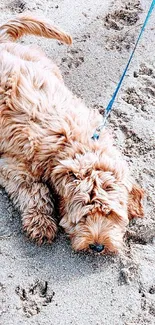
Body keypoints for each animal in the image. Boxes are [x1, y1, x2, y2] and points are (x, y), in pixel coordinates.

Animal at [0, 14, 144, 253]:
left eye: (110, 214)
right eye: (84, 216)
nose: (97, 246)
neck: (71, 142)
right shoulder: (14, 164)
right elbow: (34, 190)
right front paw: (41, 222)